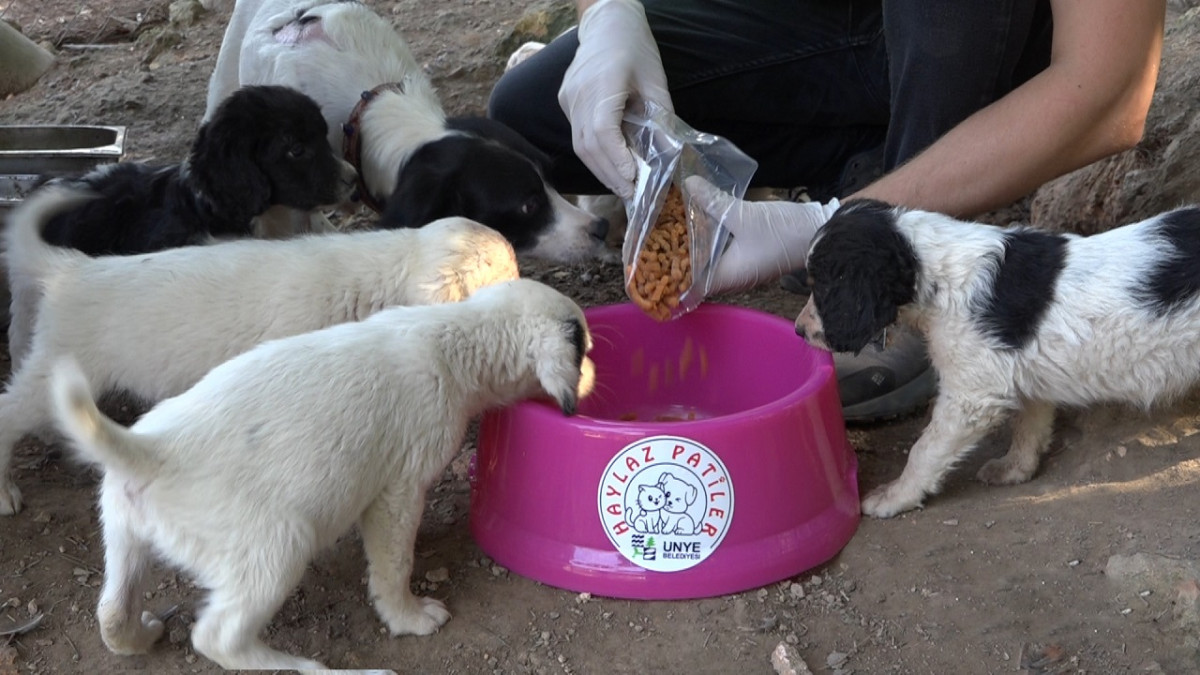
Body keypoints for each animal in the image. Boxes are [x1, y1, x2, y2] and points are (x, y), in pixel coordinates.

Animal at [50, 276, 595, 667]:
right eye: (583, 348)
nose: (592, 384)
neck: (458, 337)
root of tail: (151, 450)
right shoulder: (398, 493)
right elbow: (394, 565)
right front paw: (409, 616)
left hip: (124, 535)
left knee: (111, 613)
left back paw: (140, 632)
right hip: (277, 546)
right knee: (217, 638)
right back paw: (304, 667)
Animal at [796, 196, 1200, 516]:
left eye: (822, 287)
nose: (798, 330)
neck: (935, 270)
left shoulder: (971, 396)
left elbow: (924, 449)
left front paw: (894, 496)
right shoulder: (1027, 370)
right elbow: (1030, 423)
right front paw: (1014, 469)